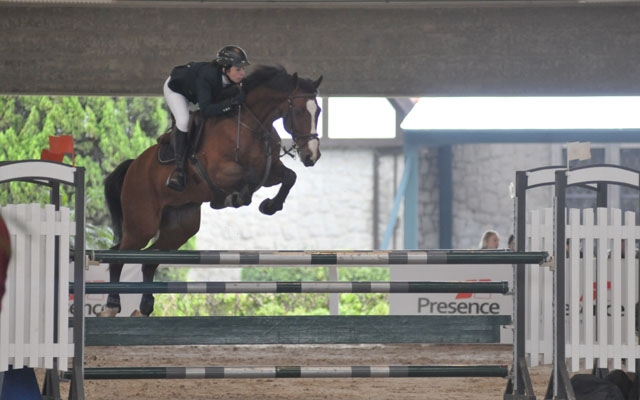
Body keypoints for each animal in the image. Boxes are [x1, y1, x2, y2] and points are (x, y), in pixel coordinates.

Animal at [99, 65, 322, 316]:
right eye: (300, 112)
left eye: (318, 111)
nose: (312, 156)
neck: (252, 123)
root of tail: (133, 166)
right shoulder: (219, 171)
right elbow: (249, 177)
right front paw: (234, 198)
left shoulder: (271, 170)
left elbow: (289, 177)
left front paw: (269, 206)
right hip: (141, 224)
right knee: (118, 255)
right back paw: (112, 304)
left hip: (180, 227)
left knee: (149, 259)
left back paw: (144, 306)